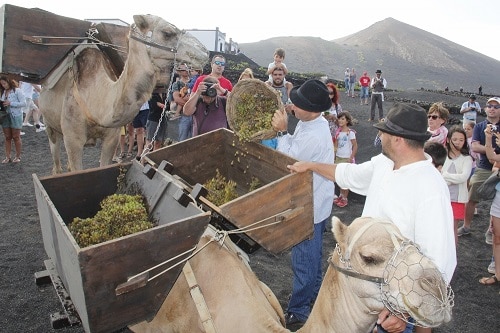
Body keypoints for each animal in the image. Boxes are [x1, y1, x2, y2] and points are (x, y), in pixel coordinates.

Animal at [39, 14, 209, 172]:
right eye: (167, 33)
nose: (205, 52)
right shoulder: (73, 139)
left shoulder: (111, 138)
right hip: (49, 125)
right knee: (56, 161)